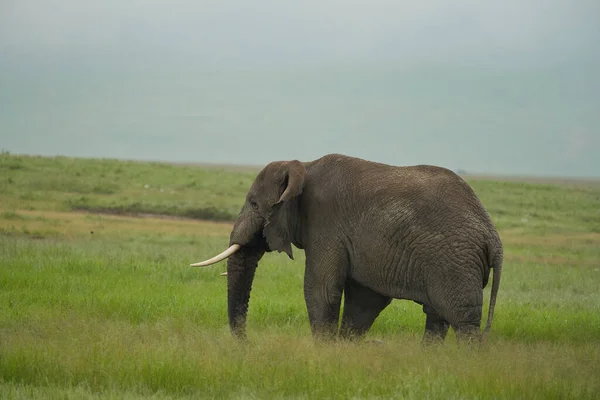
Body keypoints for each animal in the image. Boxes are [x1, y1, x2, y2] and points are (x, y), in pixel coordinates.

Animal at [192, 154, 502, 344]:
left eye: (254, 204)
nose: (248, 345)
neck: (303, 166)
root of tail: (494, 239)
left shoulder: (326, 224)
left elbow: (320, 288)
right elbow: (364, 302)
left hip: (454, 263)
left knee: (462, 320)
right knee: (437, 318)